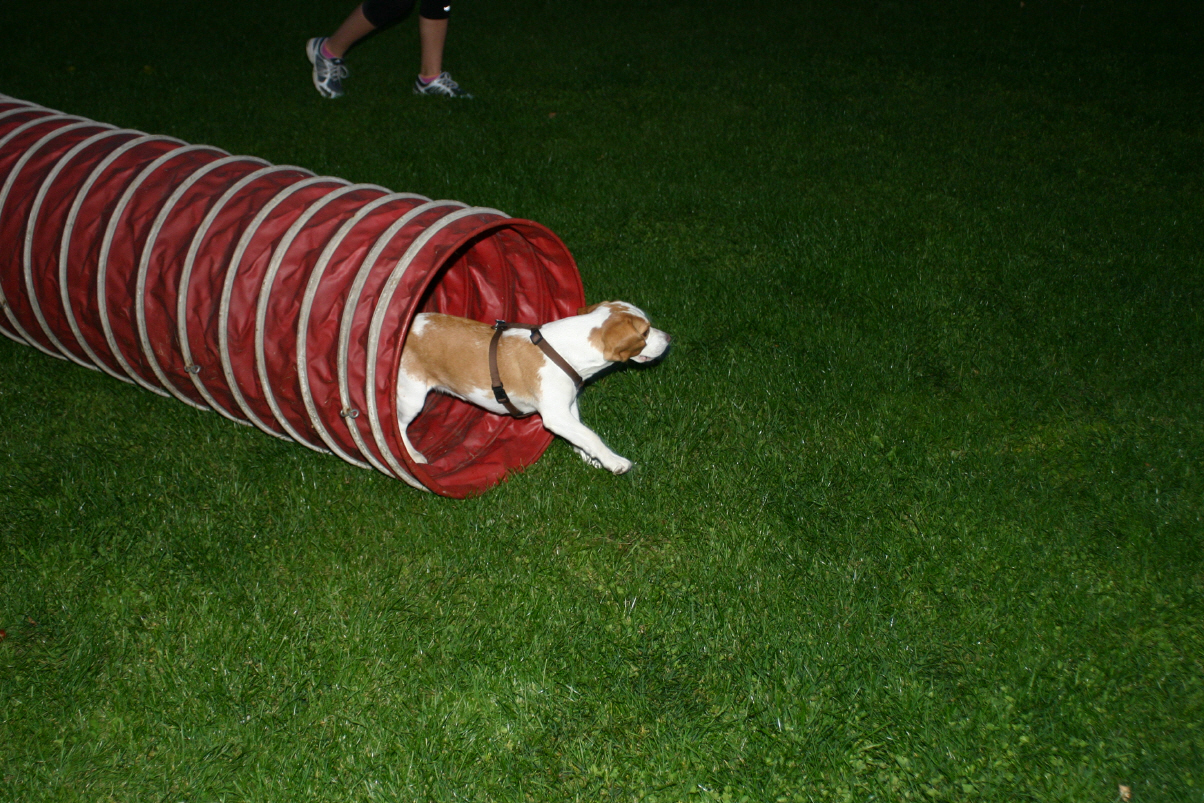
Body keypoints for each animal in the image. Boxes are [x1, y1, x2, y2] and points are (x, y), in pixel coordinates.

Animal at [396, 301, 670, 474]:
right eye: (645, 332)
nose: (669, 337)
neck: (564, 350)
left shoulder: (568, 407)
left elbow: (581, 435)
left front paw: (592, 460)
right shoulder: (555, 415)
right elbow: (591, 435)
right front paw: (614, 461)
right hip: (412, 397)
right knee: (399, 425)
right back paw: (413, 456)